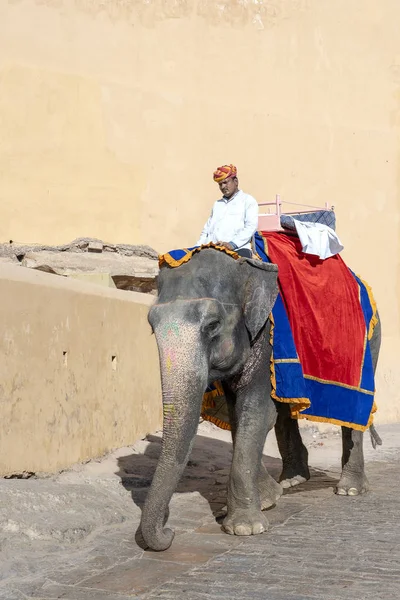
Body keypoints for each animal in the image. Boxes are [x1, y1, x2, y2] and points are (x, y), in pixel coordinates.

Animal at [138, 248, 382, 552]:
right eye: (151, 327)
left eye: (213, 325)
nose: (169, 531)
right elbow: (239, 413)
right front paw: (267, 499)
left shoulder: (266, 337)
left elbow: (256, 411)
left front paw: (245, 528)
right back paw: (292, 481)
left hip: (370, 343)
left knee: (354, 413)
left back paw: (350, 489)